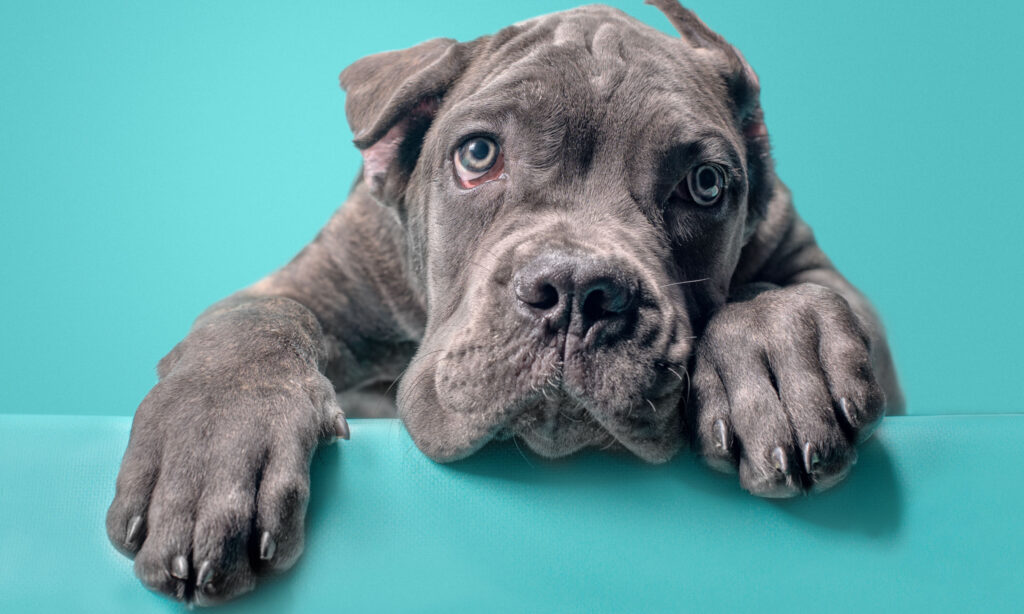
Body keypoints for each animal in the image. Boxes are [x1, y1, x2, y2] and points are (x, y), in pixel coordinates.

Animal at [103, 1, 905, 605]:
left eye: (706, 184)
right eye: (478, 155)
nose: (579, 291)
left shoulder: (818, 274)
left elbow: (794, 292)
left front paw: (775, 351)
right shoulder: (319, 280)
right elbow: (251, 327)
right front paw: (210, 456)